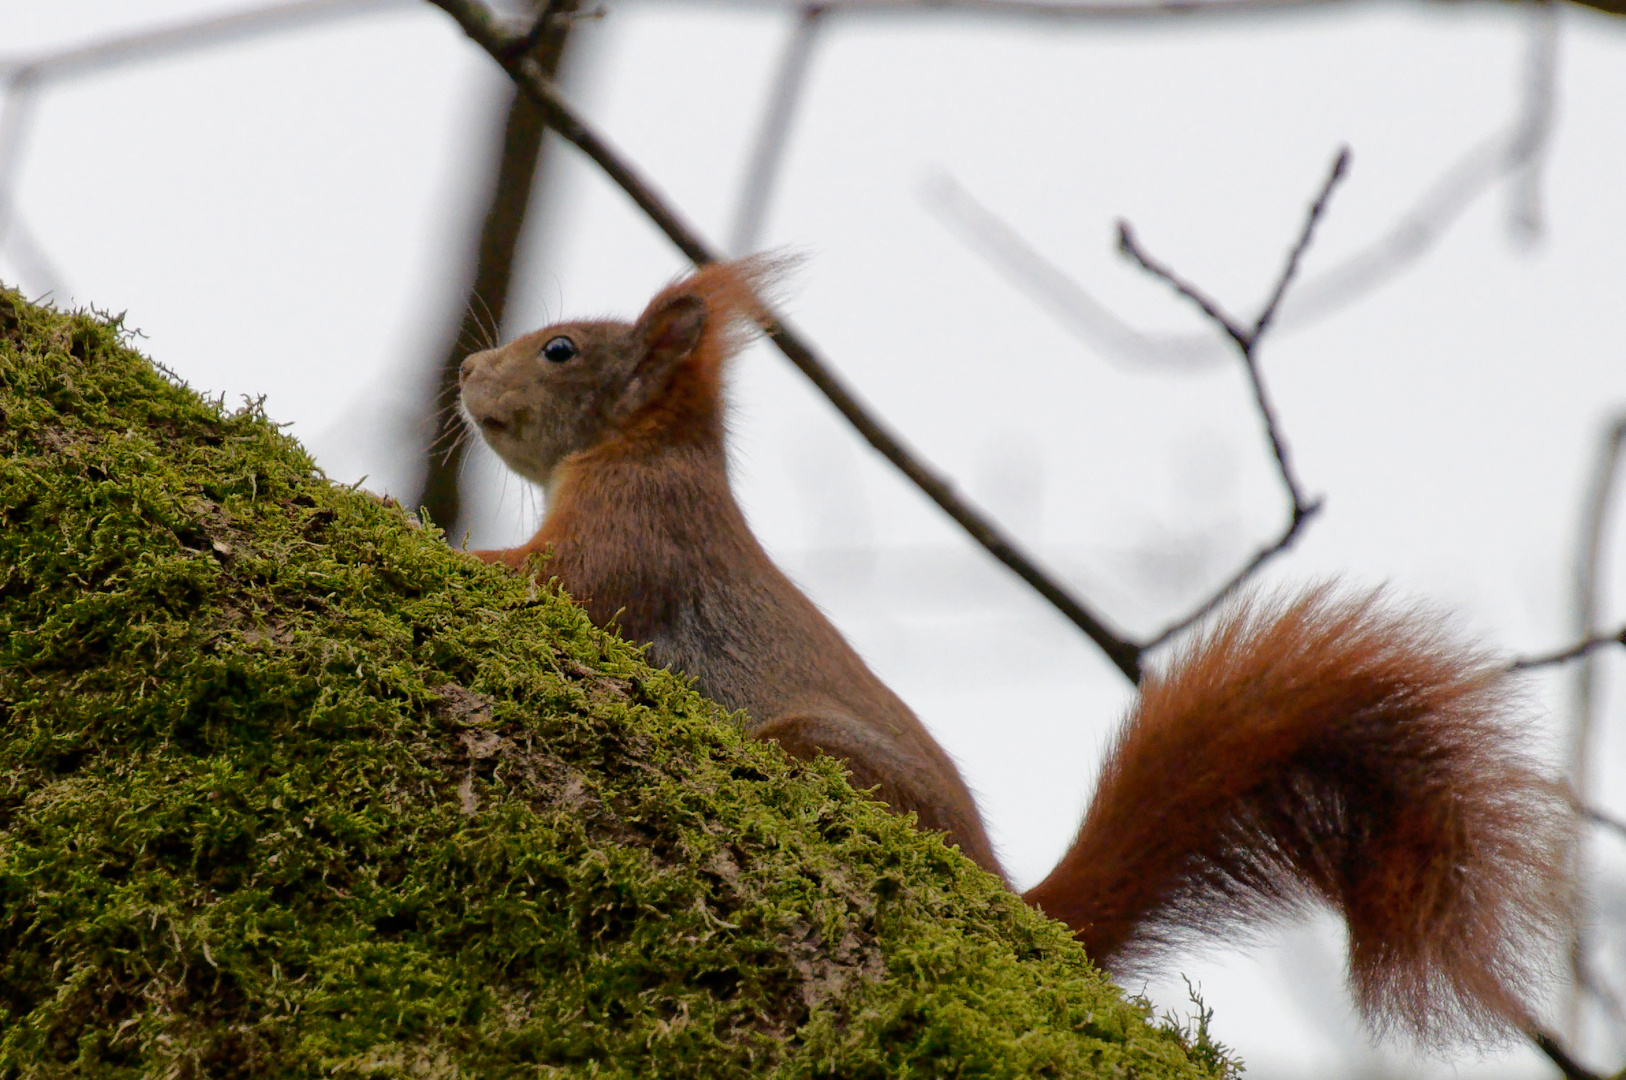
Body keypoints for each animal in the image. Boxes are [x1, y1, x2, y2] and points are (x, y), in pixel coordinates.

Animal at [458, 256, 1573, 1040]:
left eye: (561, 349)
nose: (466, 371)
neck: (646, 445)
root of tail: (1010, 896)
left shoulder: (639, 526)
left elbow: (555, 583)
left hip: (817, 747)